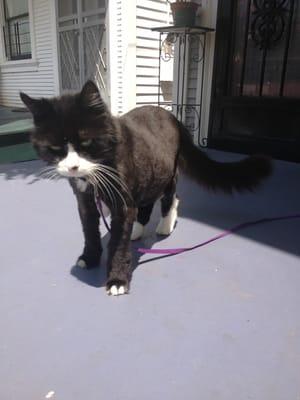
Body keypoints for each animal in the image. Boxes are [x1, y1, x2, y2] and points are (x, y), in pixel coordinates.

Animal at [19, 81, 272, 296]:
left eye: (87, 142)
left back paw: (165, 225)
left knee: (170, 197)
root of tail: (172, 116)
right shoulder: (85, 202)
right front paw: (89, 258)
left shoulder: (121, 202)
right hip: (149, 171)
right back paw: (137, 229)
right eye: (54, 148)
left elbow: (118, 245)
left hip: (168, 171)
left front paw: (117, 280)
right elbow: (90, 232)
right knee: (146, 202)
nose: (73, 167)